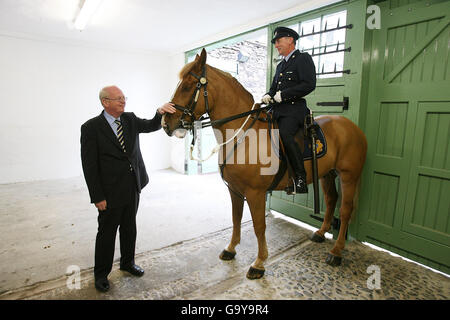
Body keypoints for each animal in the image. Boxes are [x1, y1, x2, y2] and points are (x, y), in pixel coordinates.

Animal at [163, 48, 368, 278]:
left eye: (188, 85)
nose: (165, 123)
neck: (243, 135)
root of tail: (350, 126)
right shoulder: (234, 190)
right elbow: (235, 219)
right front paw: (231, 249)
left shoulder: (255, 193)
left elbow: (259, 225)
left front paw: (259, 262)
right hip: (327, 174)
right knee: (332, 200)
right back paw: (321, 233)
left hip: (349, 176)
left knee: (345, 210)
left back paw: (337, 251)